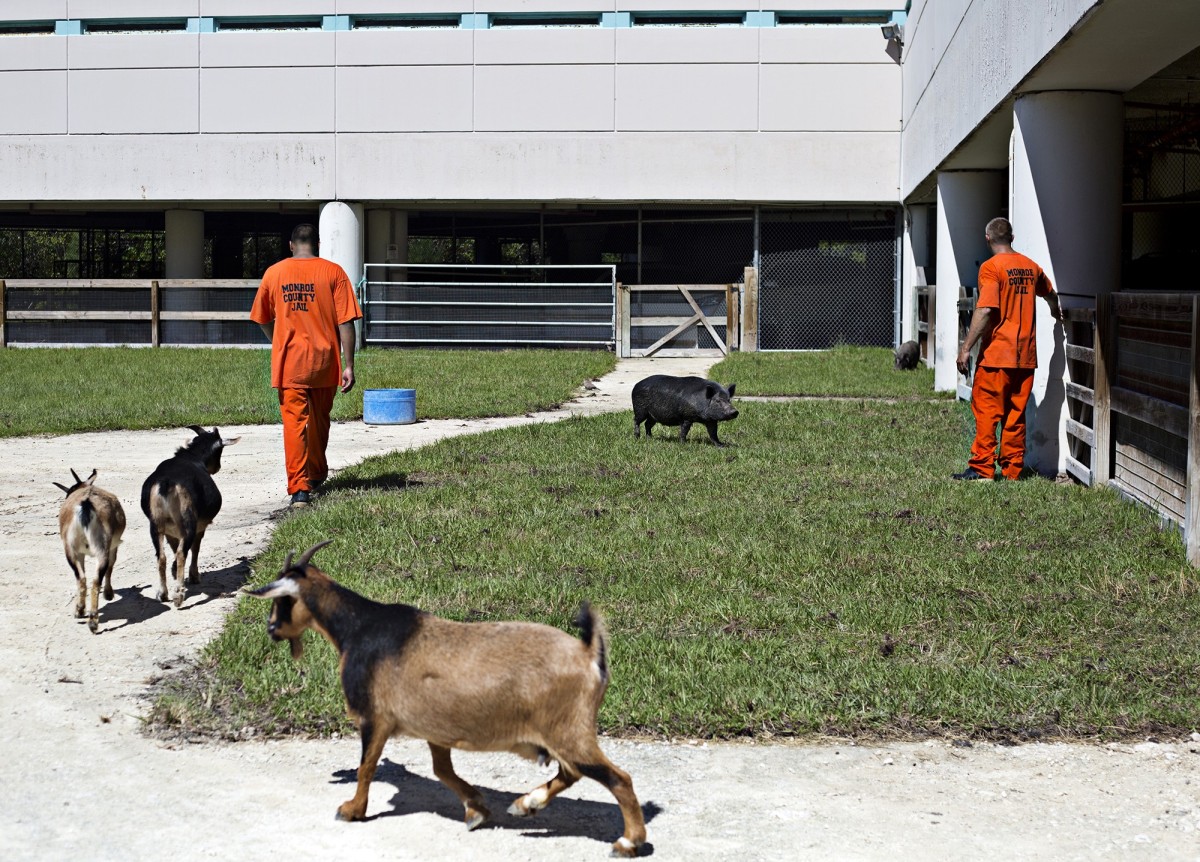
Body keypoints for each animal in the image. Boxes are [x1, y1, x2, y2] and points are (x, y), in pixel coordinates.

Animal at [53, 473, 125, 633]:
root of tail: (86, 504)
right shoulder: (113, 546)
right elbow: (111, 567)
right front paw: (109, 594)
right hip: (102, 548)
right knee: (96, 579)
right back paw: (92, 620)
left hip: (71, 550)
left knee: (82, 578)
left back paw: (81, 611)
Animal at [140, 424, 238, 607]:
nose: (217, 468)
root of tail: (166, 483)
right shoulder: (201, 525)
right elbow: (195, 547)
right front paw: (194, 576)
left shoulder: (171, 531)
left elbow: (173, 546)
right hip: (189, 521)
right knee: (182, 552)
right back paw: (178, 595)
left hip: (156, 525)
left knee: (161, 556)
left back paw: (163, 593)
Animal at [249, 542, 652, 859]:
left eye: (283, 600)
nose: (271, 629)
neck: (357, 628)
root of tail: (589, 653)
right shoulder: (434, 727)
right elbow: (442, 770)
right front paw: (476, 811)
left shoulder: (374, 719)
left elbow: (366, 767)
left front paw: (351, 810)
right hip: (562, 731)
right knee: (572, 771)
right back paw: (526, 805)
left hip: (568, 729)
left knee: (617, 778)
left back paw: (628, 842)